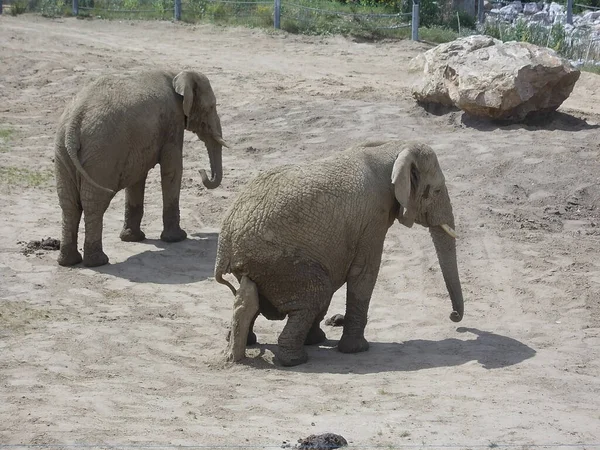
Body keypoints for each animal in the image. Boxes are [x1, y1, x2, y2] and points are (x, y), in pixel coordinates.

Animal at [54, 69, 227, 268]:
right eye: (212, 107)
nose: (202, 172)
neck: (176, 74)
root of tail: (74, 123)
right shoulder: (172, 121)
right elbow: (173, 168)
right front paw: (176, 238)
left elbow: (137, 177)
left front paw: (132, 238)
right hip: (102, 154)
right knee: (94, 204)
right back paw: (98, 262)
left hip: (63, 153)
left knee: (69, 205)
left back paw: (69, 262)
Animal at [214, 141, 464, 366]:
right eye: (437, 191)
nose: (454, 317)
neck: (392, 148)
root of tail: (225, 243)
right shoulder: (372, 218)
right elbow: (364, 273)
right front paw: (357, 350)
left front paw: (325, 340)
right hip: (277, 261)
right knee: (315, 293)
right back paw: (294, 360)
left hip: (262, 263)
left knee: (254, 294)